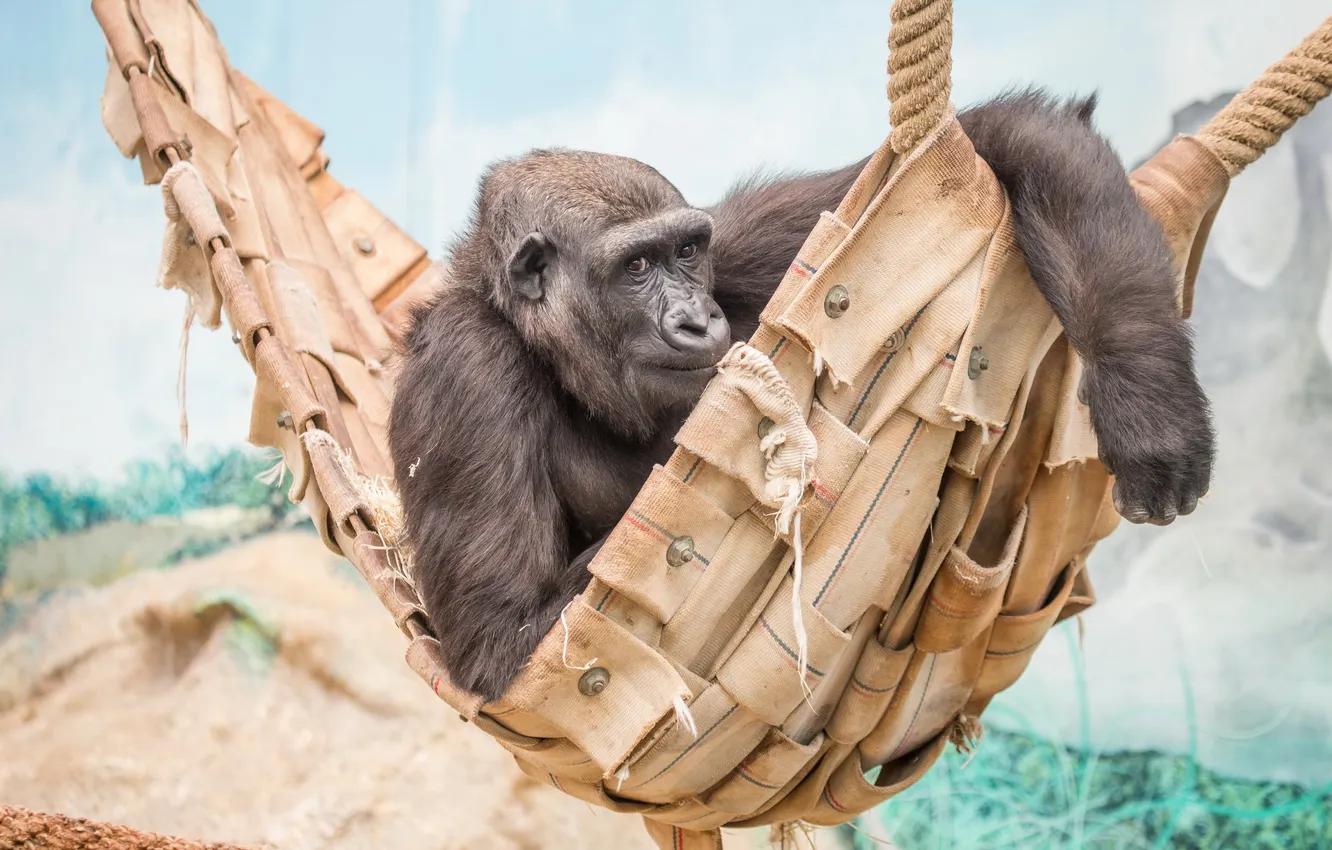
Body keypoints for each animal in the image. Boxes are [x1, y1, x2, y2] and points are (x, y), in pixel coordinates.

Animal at [388, 88, 1215, 702]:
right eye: (635, 268)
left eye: (685, 252)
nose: (698, 319)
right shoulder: (466, 369)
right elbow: (503, 641)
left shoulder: (737, 239)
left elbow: (981, 148)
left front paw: (1148, 403)